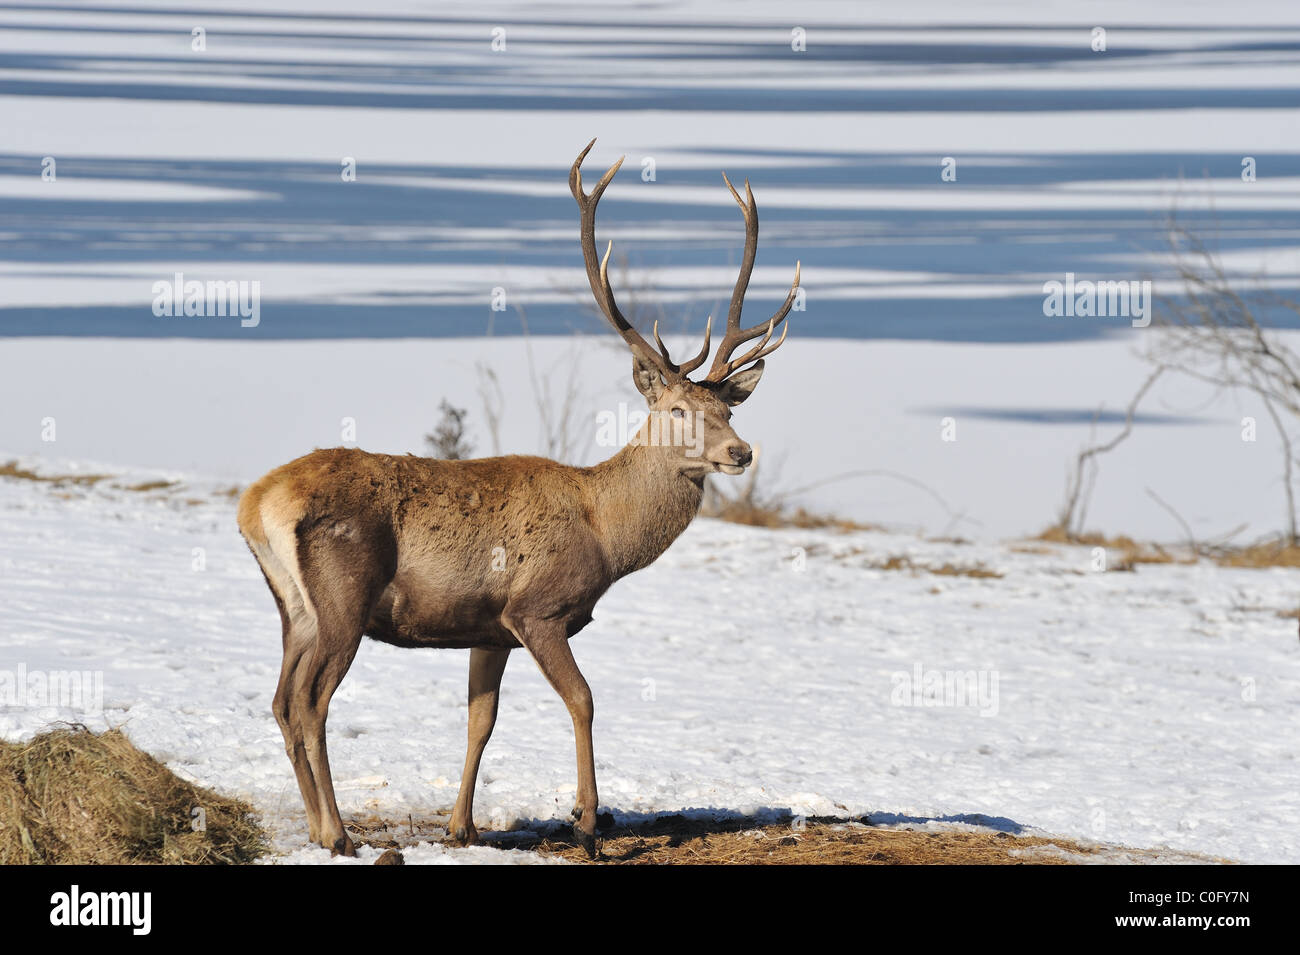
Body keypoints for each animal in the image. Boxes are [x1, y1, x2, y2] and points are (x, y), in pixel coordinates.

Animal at [237, 136, 795, 857]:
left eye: (727, 409)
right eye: (676, 409)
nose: (741, 452)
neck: (605, 534)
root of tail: (256, 503)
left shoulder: (488, 624)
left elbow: (482, 718)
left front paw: (462, 827)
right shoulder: (538, 607)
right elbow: (584, 699)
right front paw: (587, 822)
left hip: (293, 606)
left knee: (282, 699)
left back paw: (317, 828)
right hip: (343, 594)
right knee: (312, 701)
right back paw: (337, 833)